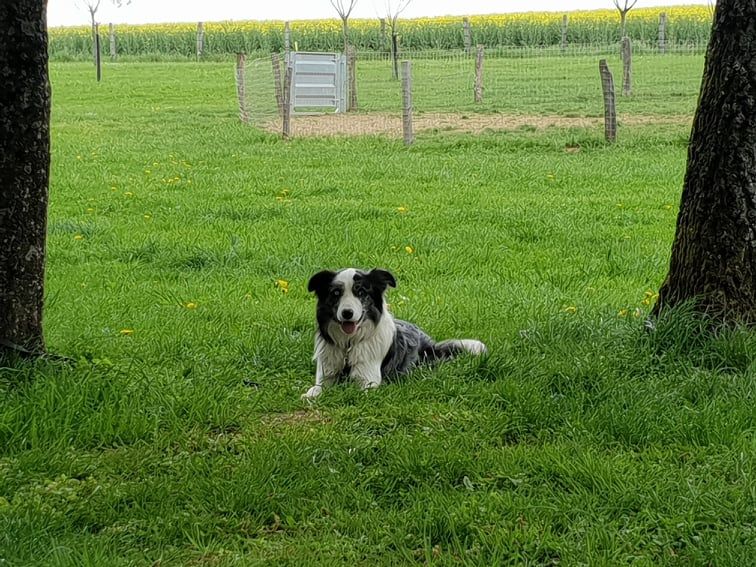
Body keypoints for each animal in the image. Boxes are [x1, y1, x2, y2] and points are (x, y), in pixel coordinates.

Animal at [304, 270, 488, 400]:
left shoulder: (368, 381)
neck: (349, 345)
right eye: (336, 293)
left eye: (361, 292)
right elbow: (315, 390)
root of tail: (430, 343)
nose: (347, 313)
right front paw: (310, 395)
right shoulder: (326, 375)